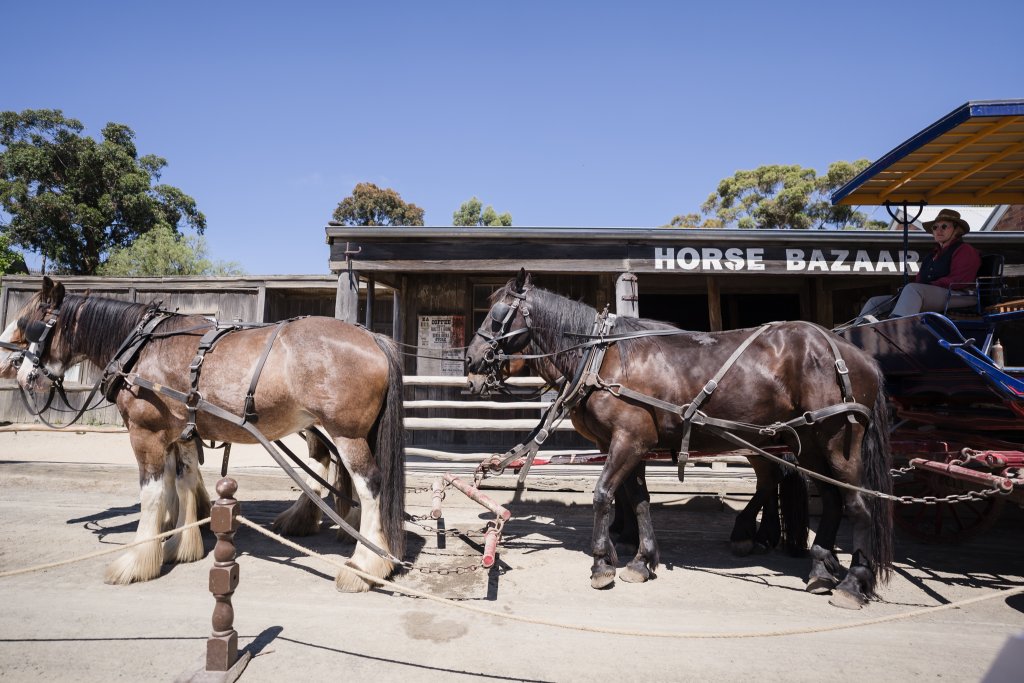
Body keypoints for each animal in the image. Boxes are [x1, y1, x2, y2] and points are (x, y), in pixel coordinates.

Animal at [12, 278, 405, 593]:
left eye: (30, 325)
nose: (23, 375)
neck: (142, 347)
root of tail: (372, 337)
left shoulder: (146, 433)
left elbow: (152, 494)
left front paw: (136, 560)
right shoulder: (182, 435)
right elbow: (184, 482)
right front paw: (180, 545)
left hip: (345, 433)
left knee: (369, 485)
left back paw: (365, 565)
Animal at [468, 270, 892, 610]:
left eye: (498, 313)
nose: (471, 363)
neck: (603, 358)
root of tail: (858, 356)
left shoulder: (627, 441)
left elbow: (604, 495)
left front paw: (603, 563)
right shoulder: (630, 445)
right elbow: (638, 501)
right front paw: (641, 561)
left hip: (836, 446)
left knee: (858, 506)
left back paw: (852, 583)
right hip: (809, 445)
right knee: (826, 498)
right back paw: (818, 567)